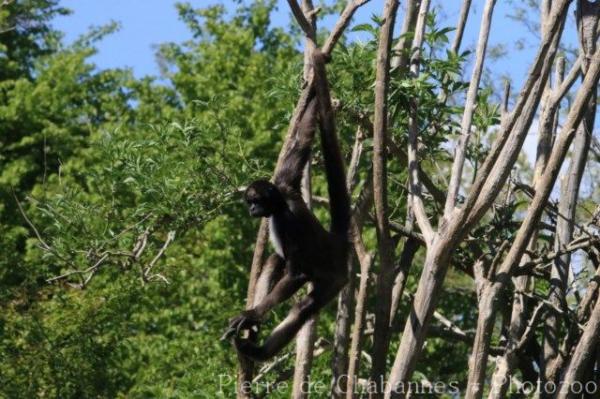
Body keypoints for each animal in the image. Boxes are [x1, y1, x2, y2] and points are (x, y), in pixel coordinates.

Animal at [223, 50, 350, 362]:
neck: (281, 203)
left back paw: (258, 350)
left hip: (334, 277)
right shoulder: (285, 182)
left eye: (256, 201)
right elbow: (302, 139)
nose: (252, 211)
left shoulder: (286, 221)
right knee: (273, 259)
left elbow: (297, 274)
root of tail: (336, 242)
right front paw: (317, 74)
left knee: (302, 306)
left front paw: (252, 314)